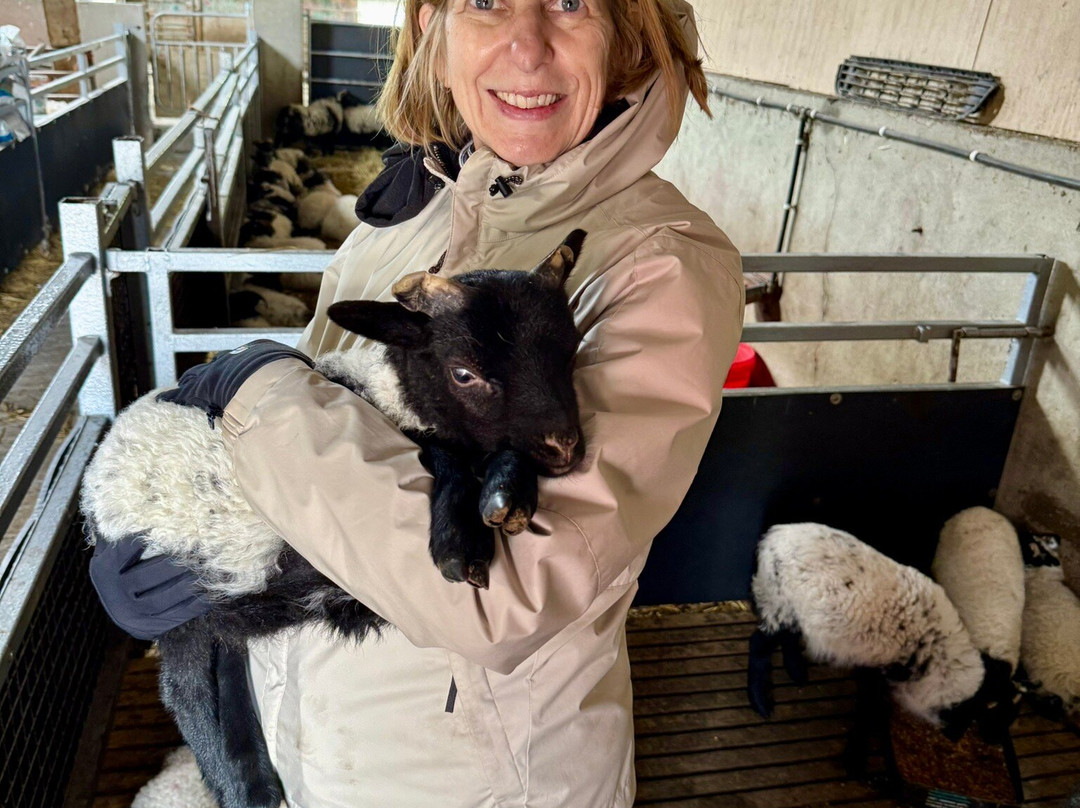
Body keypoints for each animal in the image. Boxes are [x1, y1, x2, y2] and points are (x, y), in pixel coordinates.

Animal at [748, 523, 1013, 746]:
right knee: (759, 643)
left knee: (787, 638)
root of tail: (771, 537)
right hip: (778, 599)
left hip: (791, 607)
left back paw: (797, 673)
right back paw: (761, 704)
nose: (995, 739)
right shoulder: (876, 666)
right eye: (981, 708)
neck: (935, 653)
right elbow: (870, 707)